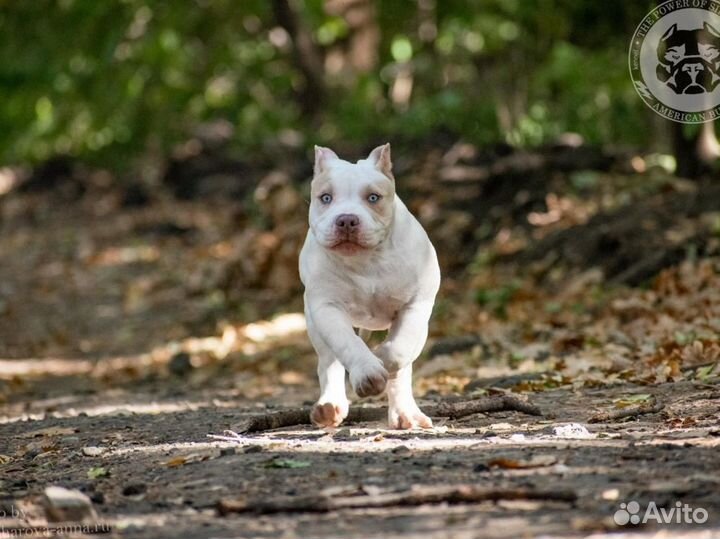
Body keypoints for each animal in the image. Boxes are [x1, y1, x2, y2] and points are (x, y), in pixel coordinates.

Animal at [296, 143, 438, 430]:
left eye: (373, 198)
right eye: (325, 198)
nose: (347, 220)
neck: (366, 261)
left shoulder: (415, 305)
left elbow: (399, 350)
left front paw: (382, 357)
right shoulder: (327, 308)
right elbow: (347, 344)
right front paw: (368, 371)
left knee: (404, 367)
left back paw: (405, 413)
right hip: (314, 324)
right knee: (329, 362)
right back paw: (329, 406)